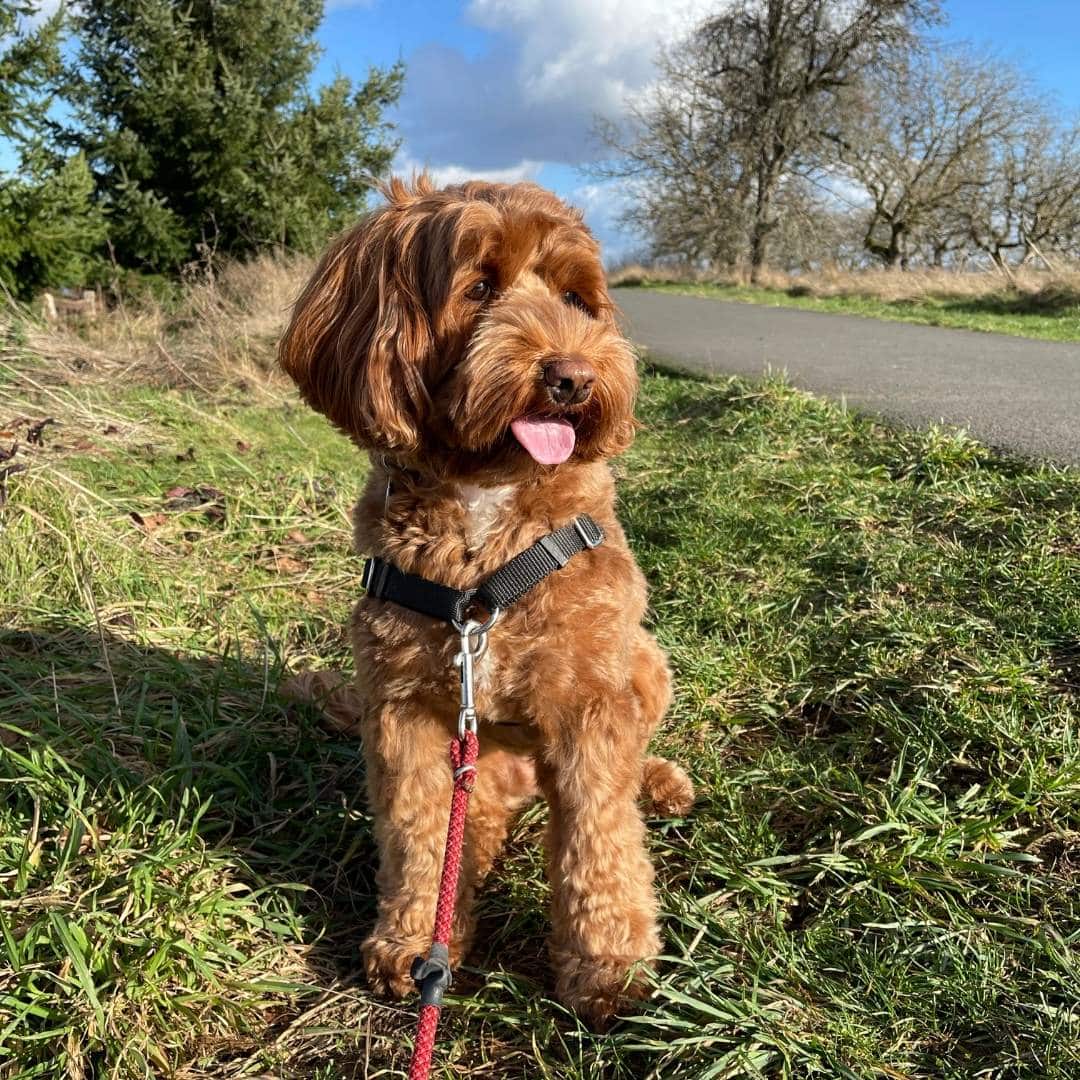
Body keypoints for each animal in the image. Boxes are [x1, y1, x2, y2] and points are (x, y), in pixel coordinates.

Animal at [278, 172, 695, 1023]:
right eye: (478, 288)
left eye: (575, 297)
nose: (572, 377)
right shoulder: (403, 708)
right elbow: (416, 832)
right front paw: (413, 941)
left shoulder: (591, 701)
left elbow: (601, 837)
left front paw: (609, 967)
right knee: (472, 821)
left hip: (645, 662)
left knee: (628, 770)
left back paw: (660, 781)